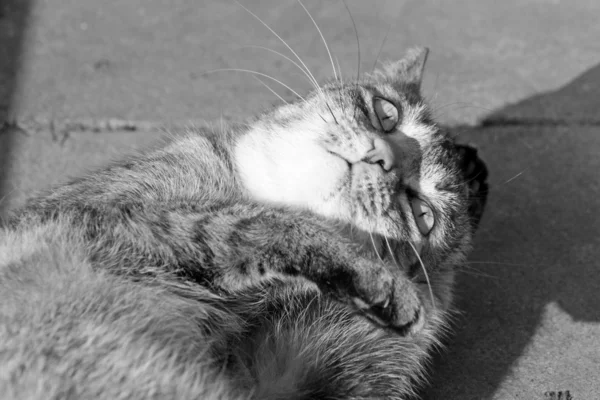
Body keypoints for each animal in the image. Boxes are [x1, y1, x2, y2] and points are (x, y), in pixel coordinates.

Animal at [0, 47, 488, 400]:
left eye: (423, 213)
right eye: (387, 113)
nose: (382, 157)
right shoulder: (117, 217)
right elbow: (264, 224)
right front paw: (388, 284)